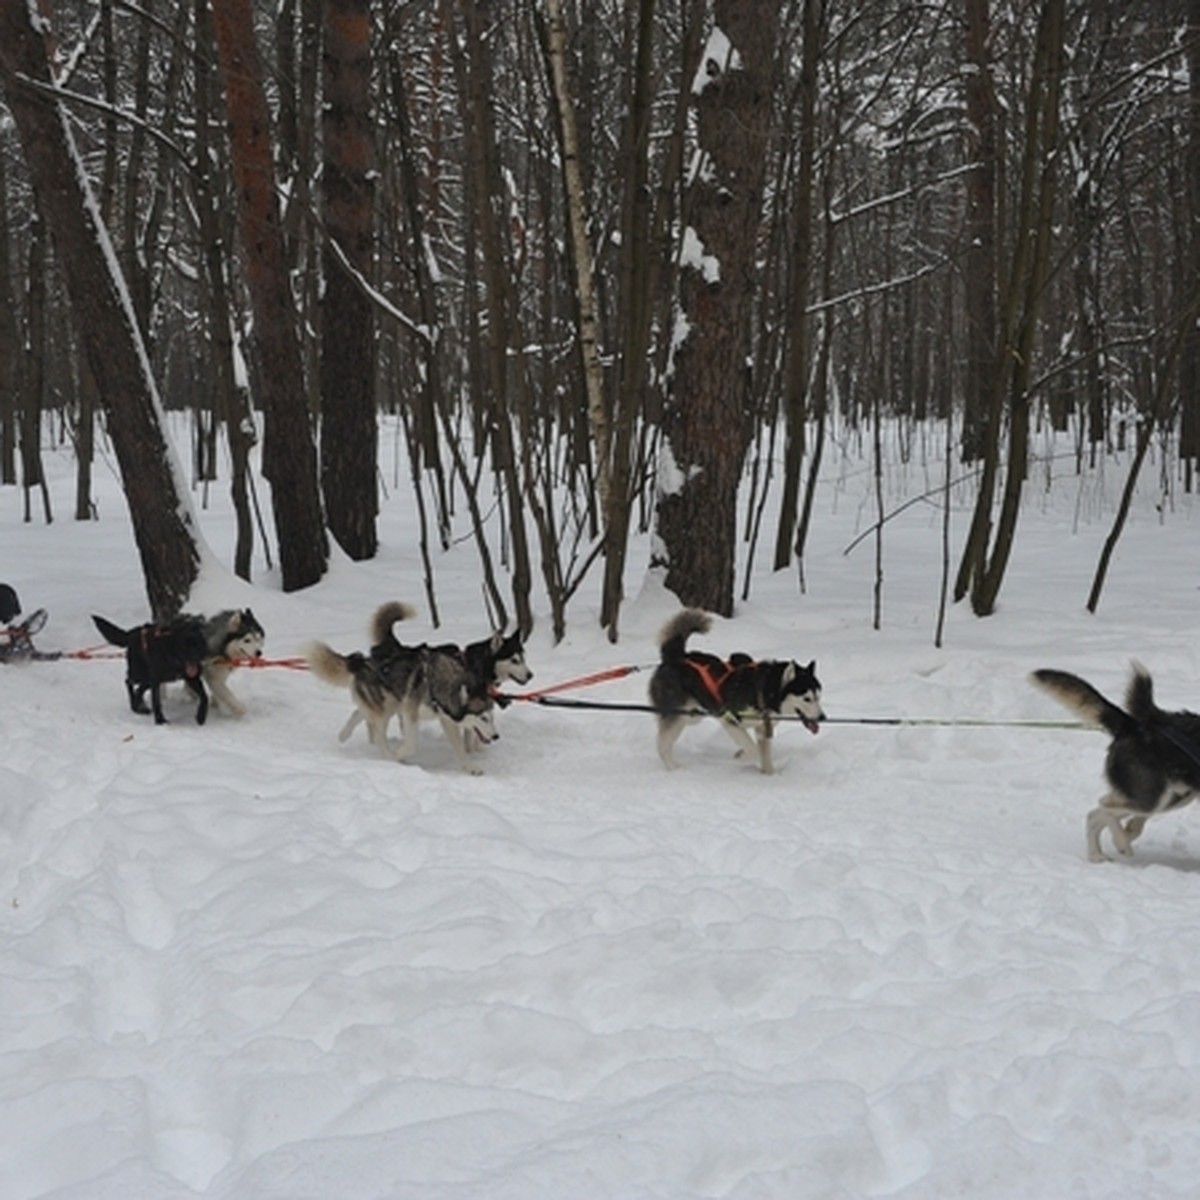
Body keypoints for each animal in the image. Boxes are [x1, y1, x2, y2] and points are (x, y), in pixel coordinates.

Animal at [648, 609, 825, 777]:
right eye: (807, 698)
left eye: (819, 697)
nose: (823, 717)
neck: (763, 688)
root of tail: (675, 657)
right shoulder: (730, 720)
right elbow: (752, 750)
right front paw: (740, 756)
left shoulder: (763, 729)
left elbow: (765, 758)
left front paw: (769, 776)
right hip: (678, 715)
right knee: (662, 745)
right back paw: (674, 768)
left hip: (692, 716)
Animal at [1027, 667, 1200, 864]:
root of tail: (1133, 725)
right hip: (1151, 798)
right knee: (1102, 807)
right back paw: (1120, 843)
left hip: (1173, 796)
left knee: (1098, 813)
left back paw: (1098, 853)